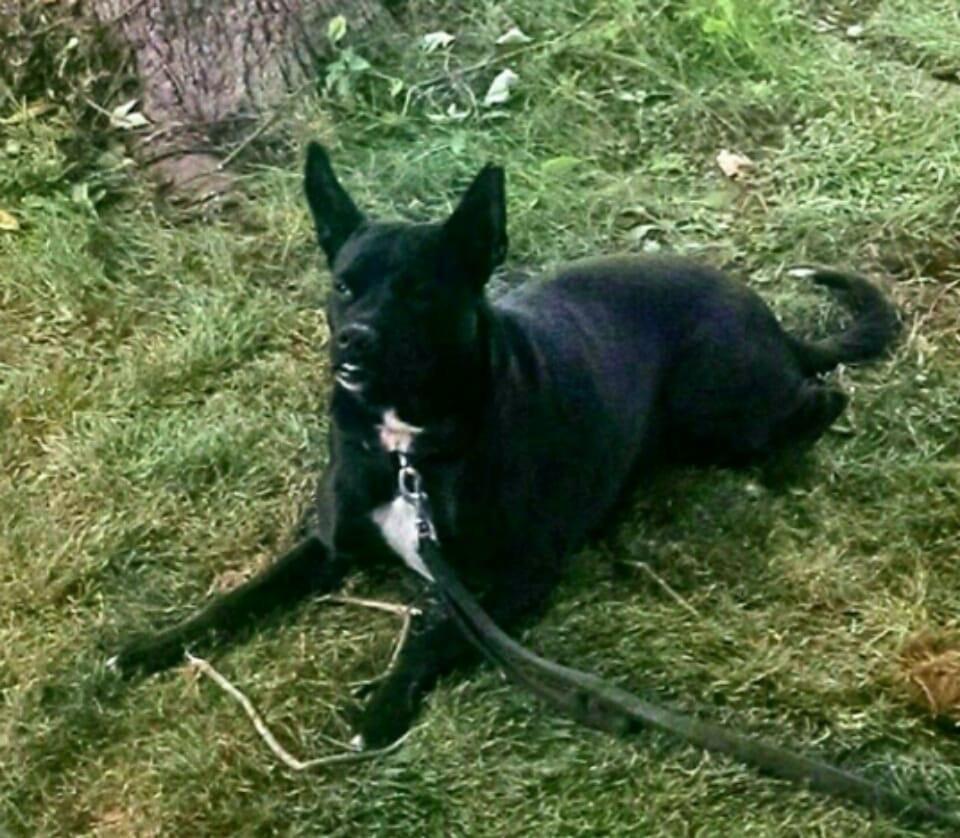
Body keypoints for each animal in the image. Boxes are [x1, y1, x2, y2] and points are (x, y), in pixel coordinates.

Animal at [114, 141, 900, 753]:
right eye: (344, 285)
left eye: (420, 293)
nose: (354, 344)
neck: (408, 449)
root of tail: (767, 318)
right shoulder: (329, 545)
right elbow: (239, 599)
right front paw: (156, 646)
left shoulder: (518, 578)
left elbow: (434, 636)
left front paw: (381, 708)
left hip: (717, 403)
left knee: (823, 400)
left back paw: (777, 463)